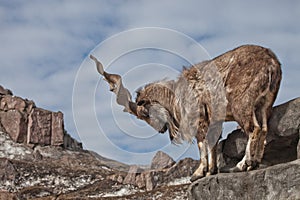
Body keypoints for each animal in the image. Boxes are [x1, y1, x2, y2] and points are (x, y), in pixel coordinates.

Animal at [91, 45, 282, 181]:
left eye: (145, 114)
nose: (161, 130)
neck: (176, 97)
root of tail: (272, 62)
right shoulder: (213, 122)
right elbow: (212, 144)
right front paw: (211, 171)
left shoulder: (199, 120)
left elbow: (202, 144)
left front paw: (198, 173)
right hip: (263, 105)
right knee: (264, 129)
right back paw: (255, 163)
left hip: (241, 104)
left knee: (254, 129)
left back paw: (242, 165)